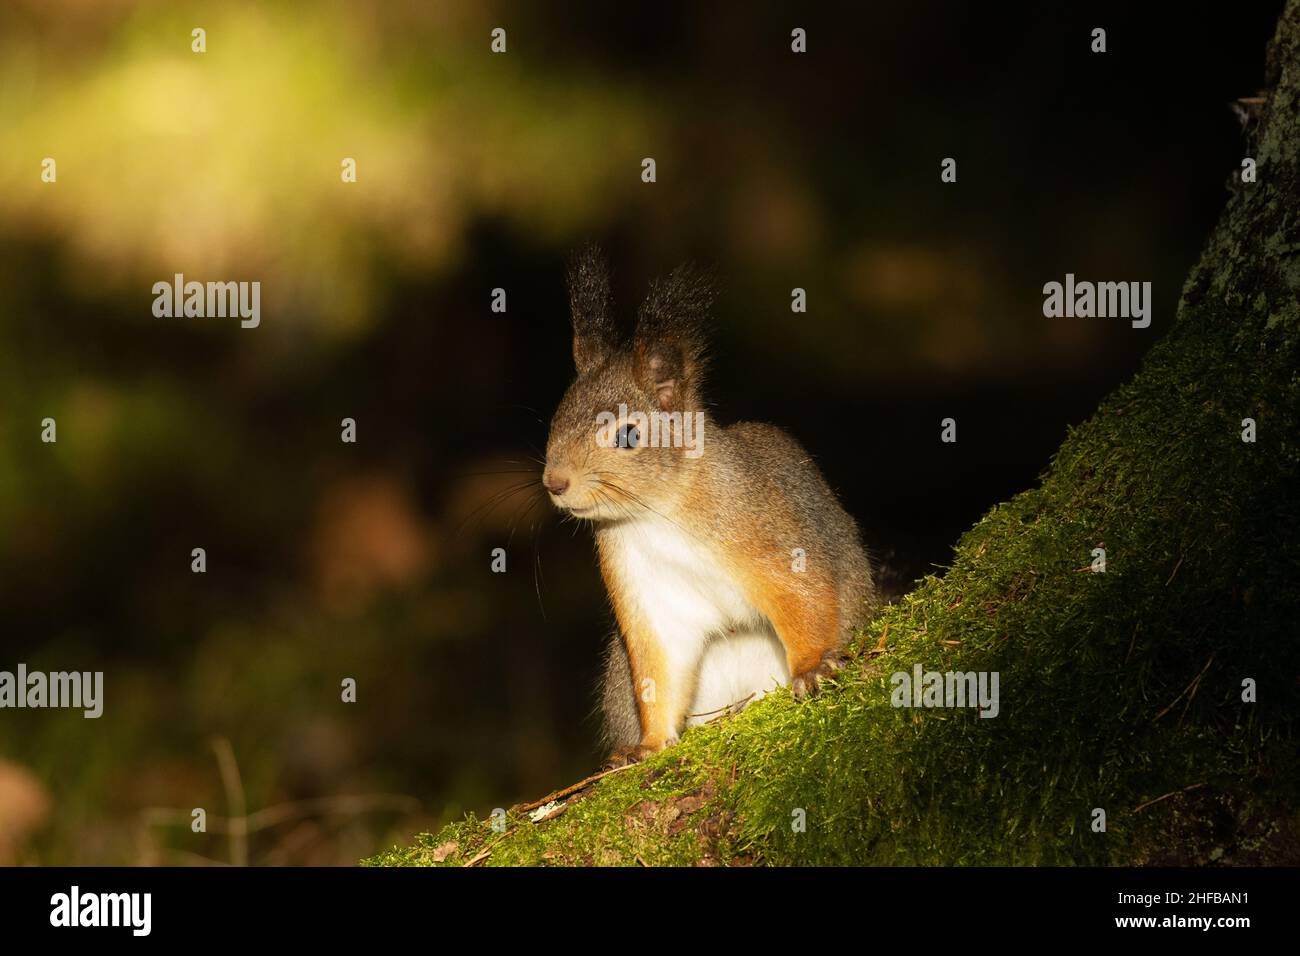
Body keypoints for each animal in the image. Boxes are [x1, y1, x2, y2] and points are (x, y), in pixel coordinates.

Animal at [538, 248, 873, 770]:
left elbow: (805, 594)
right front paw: (650, 743)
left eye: (629, 434)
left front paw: (813, 666)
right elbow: (659, 666)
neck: (658, 514)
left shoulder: (762, 524)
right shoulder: (644, 584)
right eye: (557, 417)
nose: (555, 482)